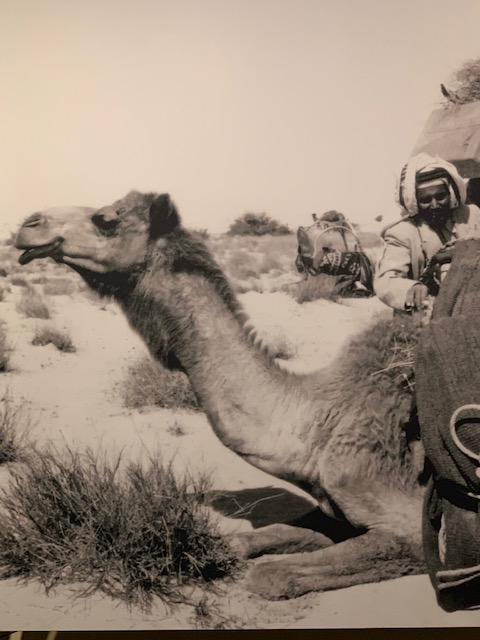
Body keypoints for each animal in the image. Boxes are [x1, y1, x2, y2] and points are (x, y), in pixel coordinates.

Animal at [15, 191, 426, 600]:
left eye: (106, 219)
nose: (28, 225)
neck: (318, 422)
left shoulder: (406, 525)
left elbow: (270, 575)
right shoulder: (331, 510)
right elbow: (246, 540)